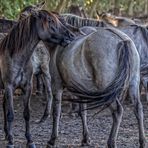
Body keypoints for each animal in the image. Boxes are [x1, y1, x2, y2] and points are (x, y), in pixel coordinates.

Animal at [0, 9, 74, 147]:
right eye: (50, 20)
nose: (71, 36)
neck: (17, 58)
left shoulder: (27, 87)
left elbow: (27, 114)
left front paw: (29, 140)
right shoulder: (9, 87)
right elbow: (11, 114)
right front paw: (11, 141)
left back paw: (7, 133)